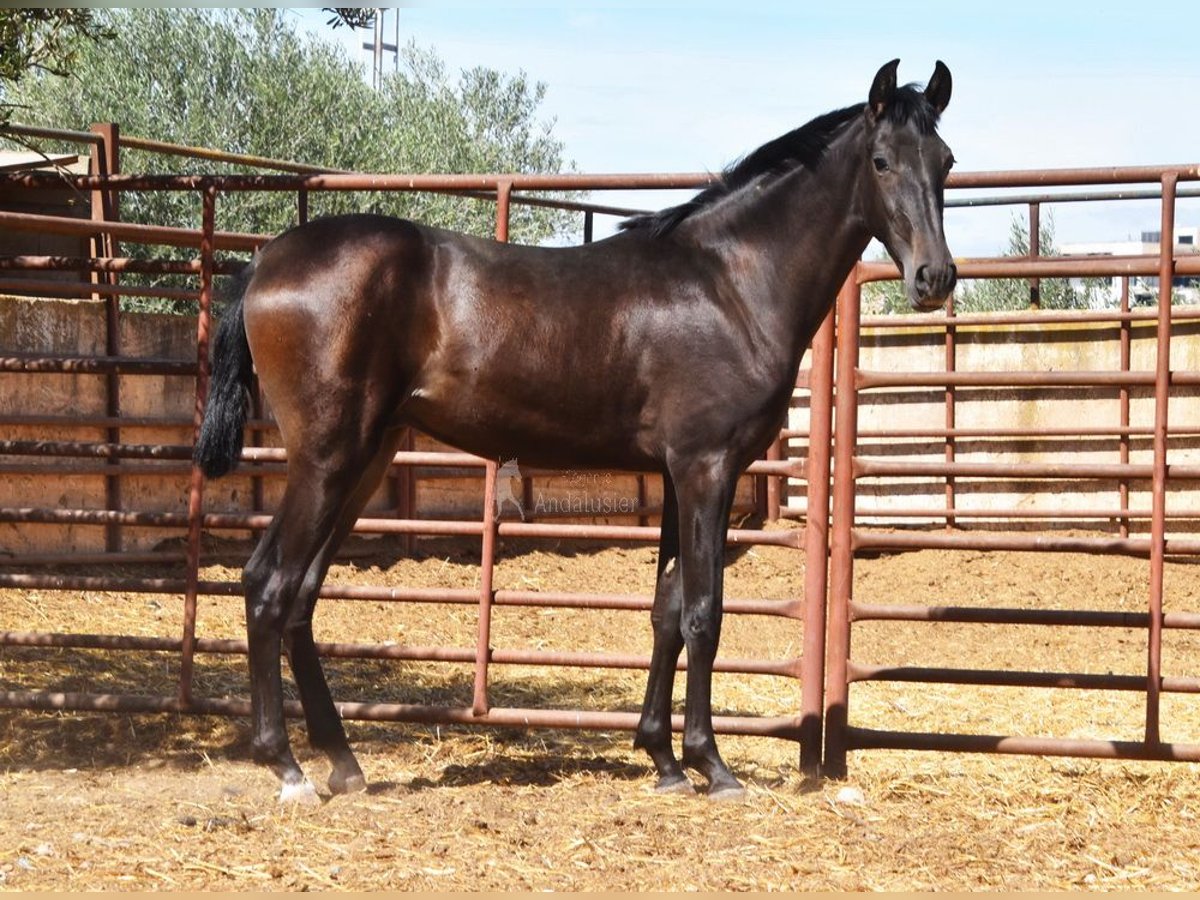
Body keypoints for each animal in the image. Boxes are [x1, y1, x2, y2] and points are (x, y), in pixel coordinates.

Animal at [194, 58, 955, 801]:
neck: (728, 283)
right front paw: (711, 765)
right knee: (267, 584)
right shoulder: (706, 468)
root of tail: (264, 262)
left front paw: (663, 760)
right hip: (326, 459)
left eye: (944, 162)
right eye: (882, 160)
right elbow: (704, 613)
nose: (935, 278)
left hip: (365, 460)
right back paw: (286, 767)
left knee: (301, 597)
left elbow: (666, 610)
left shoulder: (678, 477)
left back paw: (343, 763)